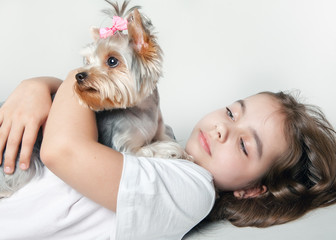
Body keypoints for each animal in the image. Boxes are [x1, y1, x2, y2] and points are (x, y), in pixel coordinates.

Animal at [0, 0, 189, 199]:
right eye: (88, 61)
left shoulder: (160, 130)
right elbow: (150, 148)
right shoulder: (124, 147)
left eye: (112, 61)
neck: (142, 111)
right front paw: (173, 150)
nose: (79, 75)